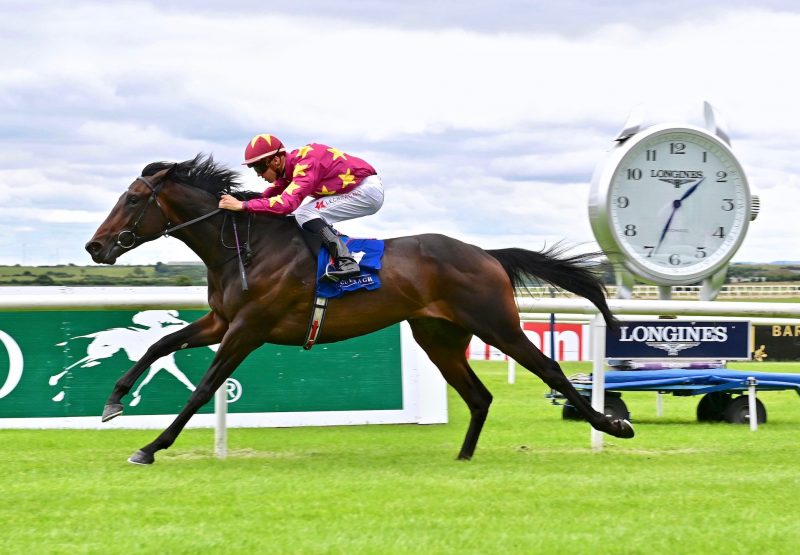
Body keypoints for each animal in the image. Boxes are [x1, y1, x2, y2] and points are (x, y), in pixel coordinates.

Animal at [87, 154, 636, 466]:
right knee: (479, 396)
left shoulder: (249, 327)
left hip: (497, 325)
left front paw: (150, 447)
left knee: (549, 369)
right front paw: (113, 402)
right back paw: (462, 456)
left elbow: (203, 387)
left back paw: (611, 425)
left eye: (133, 199)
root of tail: (486, 254)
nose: (96, 247)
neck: (245, 246)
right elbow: (159, 344)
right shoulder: (222, 321)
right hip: (438, 336)